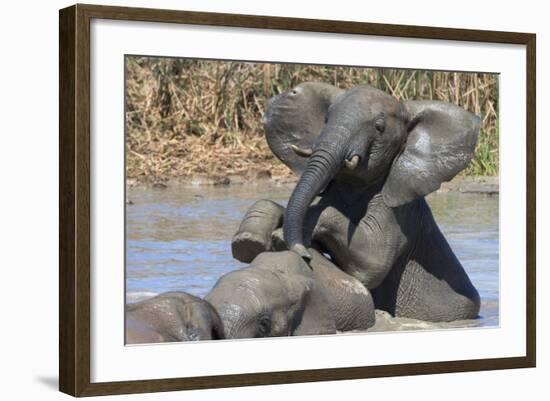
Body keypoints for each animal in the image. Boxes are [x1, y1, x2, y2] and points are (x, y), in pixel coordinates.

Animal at [233, 81, 484, 322]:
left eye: (379, 127)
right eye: (326, 119)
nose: (304, 255)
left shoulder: (400, 214)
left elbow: (373, 263)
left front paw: (280, 236)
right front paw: (249, 241)